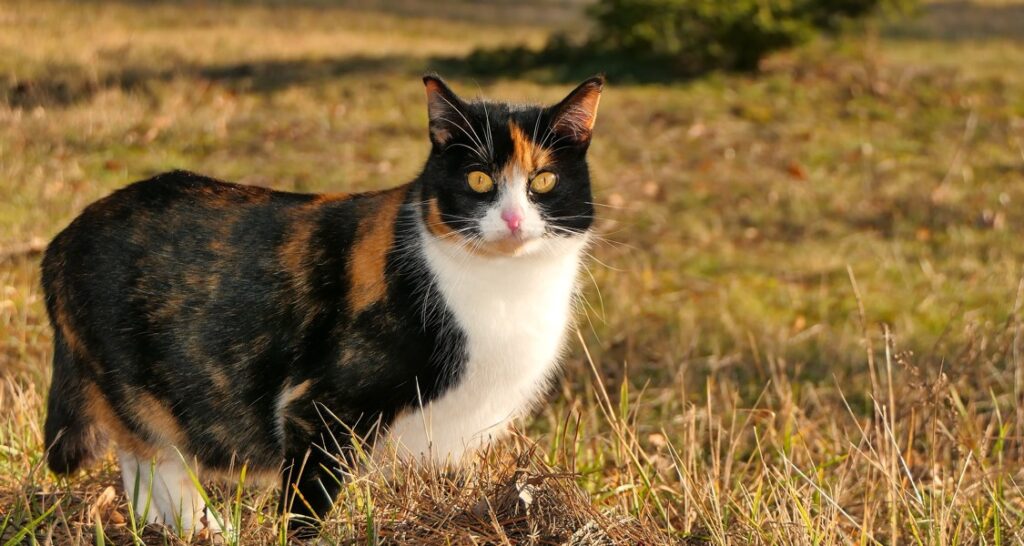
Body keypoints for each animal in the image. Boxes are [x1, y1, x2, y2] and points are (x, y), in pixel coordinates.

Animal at [41, 73, 598, 536]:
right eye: (479, 179)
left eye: (543, 180)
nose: (512, 220)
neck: (504, 286)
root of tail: (62, 240)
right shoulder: (320, 407)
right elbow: (305, 506)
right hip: (143, 389)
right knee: (159, 456)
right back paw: (205, 529)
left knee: (138, 464)